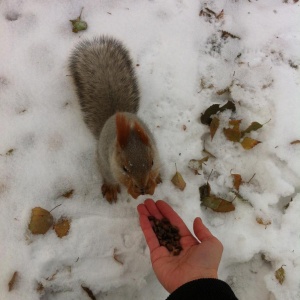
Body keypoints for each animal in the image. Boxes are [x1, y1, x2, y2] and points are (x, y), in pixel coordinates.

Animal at [69, 36, 162, 203]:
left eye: (151, 162)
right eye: (125, 168)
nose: (142, 187)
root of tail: (115, 114)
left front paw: (151, 184)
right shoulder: (113, 166)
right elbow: (122, 180)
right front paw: (133, 190)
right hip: (104, 164)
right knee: (109, 177)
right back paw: (111, 188)